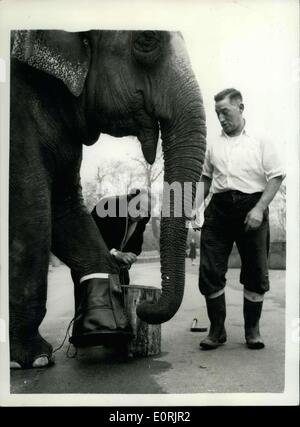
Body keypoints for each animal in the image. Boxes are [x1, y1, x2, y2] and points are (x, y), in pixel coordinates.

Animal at [9, 29, 206, 368]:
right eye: (147, 39)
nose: (142, 308)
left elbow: (64, 204)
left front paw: (107, 331)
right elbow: (31, 205)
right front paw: (34, 358)